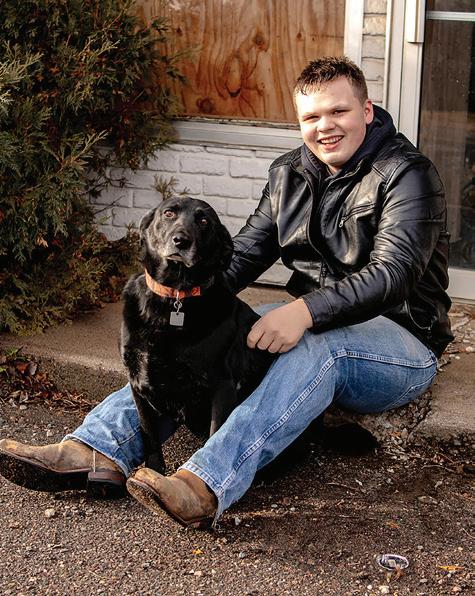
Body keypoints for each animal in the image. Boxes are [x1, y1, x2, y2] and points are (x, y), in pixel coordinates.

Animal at [120, 196, 276, 473]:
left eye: (204, 221)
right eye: (168, 213)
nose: (180, 240)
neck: (174, 298)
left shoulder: (222, 387)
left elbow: (217, 435)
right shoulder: (137, 383)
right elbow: (148, 432)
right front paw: (153, 469)